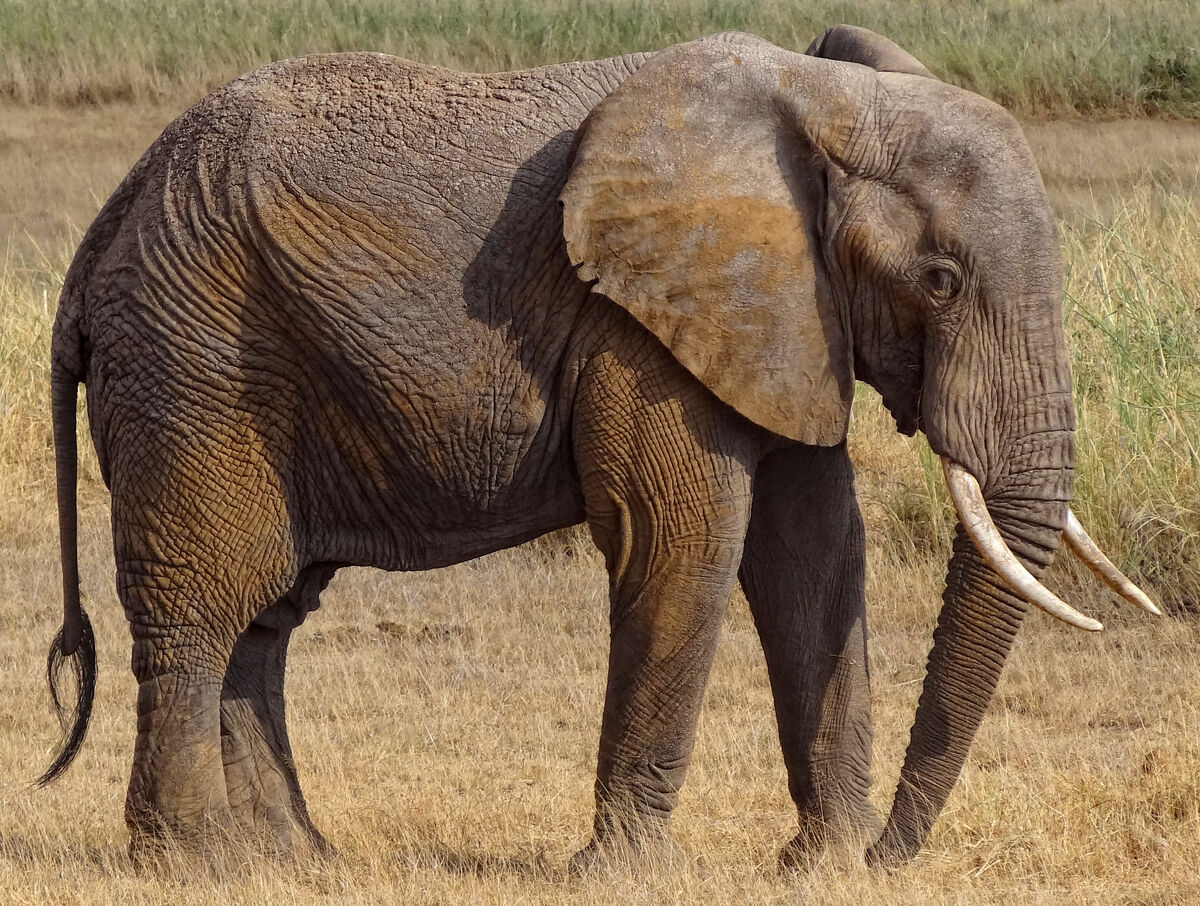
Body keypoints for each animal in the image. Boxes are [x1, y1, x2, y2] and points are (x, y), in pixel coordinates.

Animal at [42, 24, 1156, 868]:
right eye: (939, 283)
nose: (895, 855)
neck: (825, 102)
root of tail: (105, 224)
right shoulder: (640, 322)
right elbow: (683, 540)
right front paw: (626, 873)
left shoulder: (787, 315)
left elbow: (816, 551)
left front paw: (824, 867)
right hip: (192, 359)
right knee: (203, 605)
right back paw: (189, 862)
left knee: (266, 615)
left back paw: (292, 862)